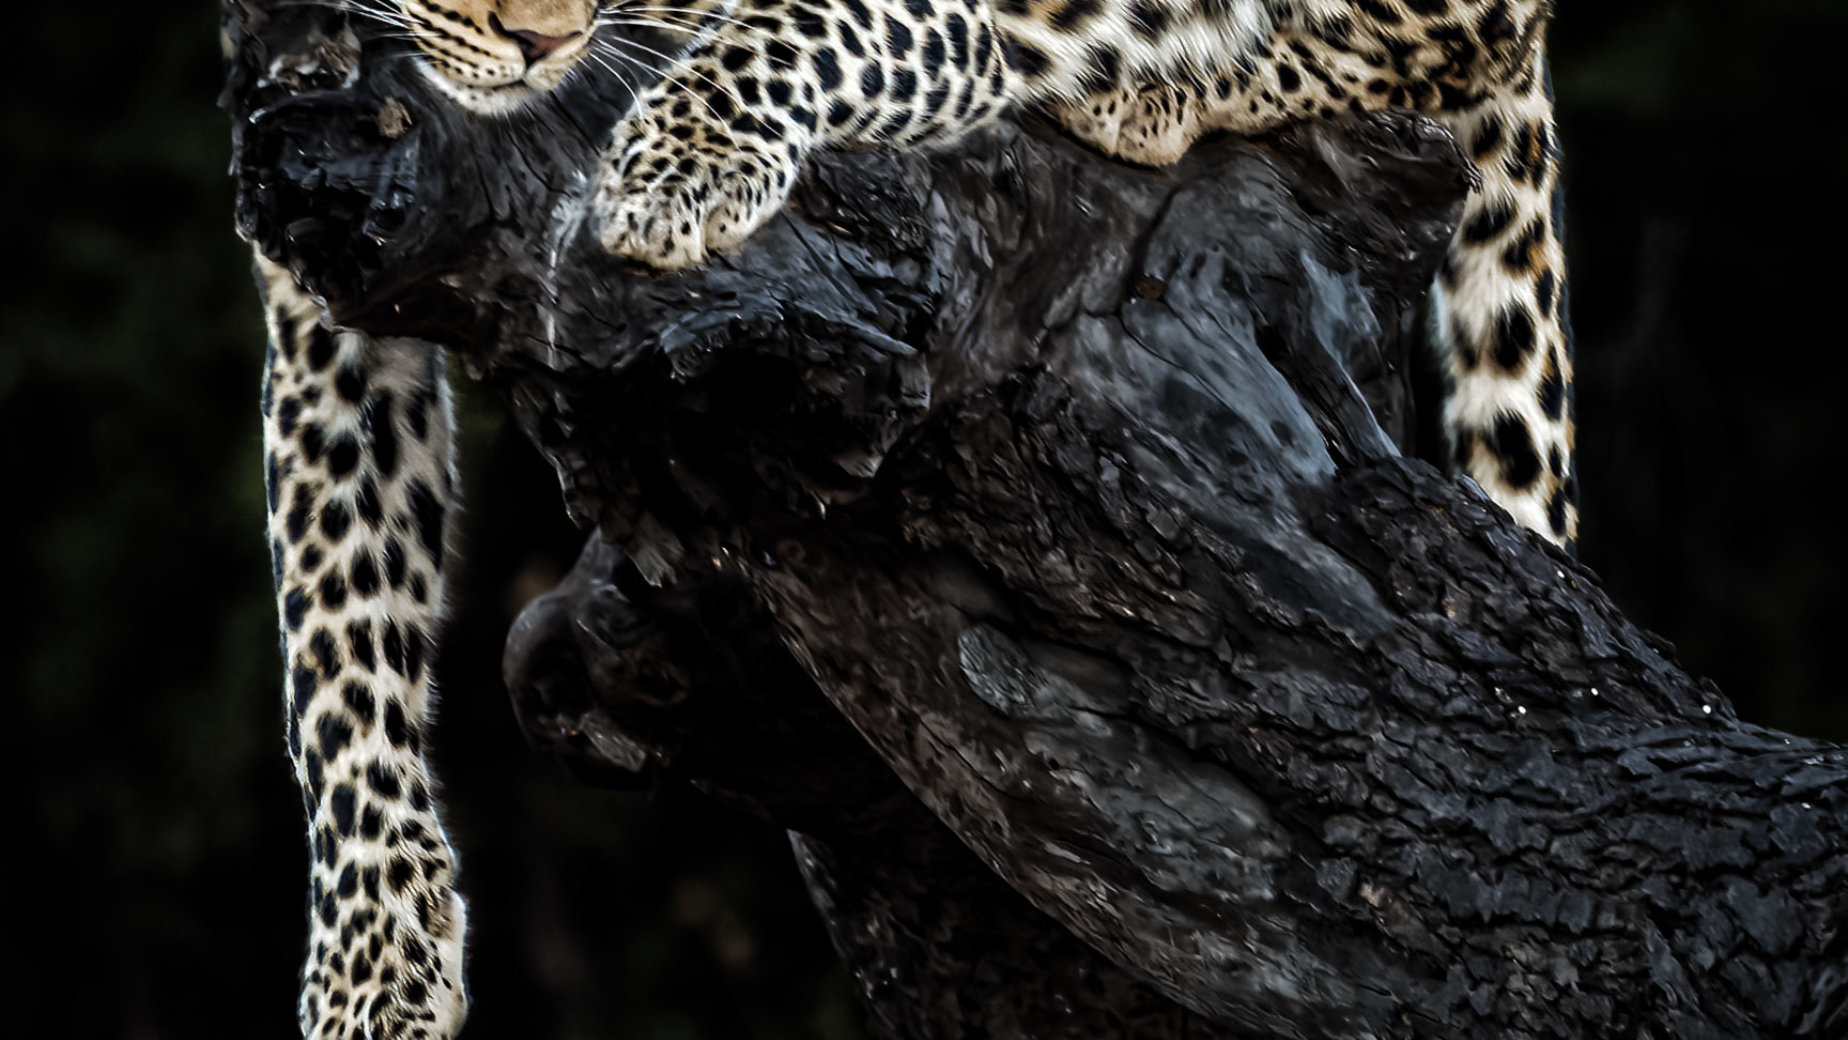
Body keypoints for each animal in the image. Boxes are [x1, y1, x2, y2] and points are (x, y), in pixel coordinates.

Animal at [259, 1, 1576, 1036]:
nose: (541, 41)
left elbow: (809, 28)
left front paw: (673, 166)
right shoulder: (326, 239)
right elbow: (337, 620)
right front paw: (373, 957)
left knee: (1433, 51)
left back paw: (1153, 89)